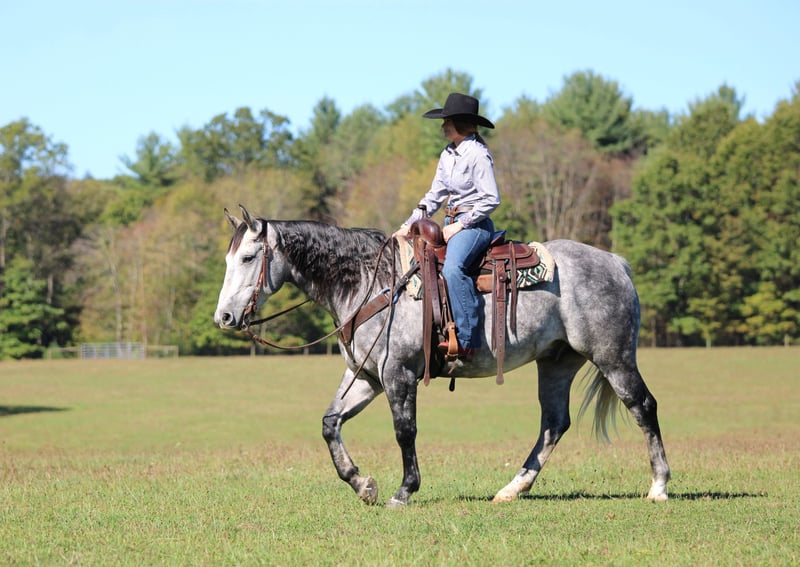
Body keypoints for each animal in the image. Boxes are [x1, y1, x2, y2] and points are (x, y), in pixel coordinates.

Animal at [214, 205, 671, 507]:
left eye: (249, 257)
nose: (224, 317)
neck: (371, 282)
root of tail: (616, 262)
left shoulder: (397, 374)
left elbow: (405, 431)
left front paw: (404, 490)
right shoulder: (366, 376)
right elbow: (330, 424)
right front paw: (362, 483)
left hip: (613, 357)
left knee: (643, 406)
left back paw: (659, 486)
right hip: (557, 362)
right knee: (553, 424)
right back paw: (511, 489)